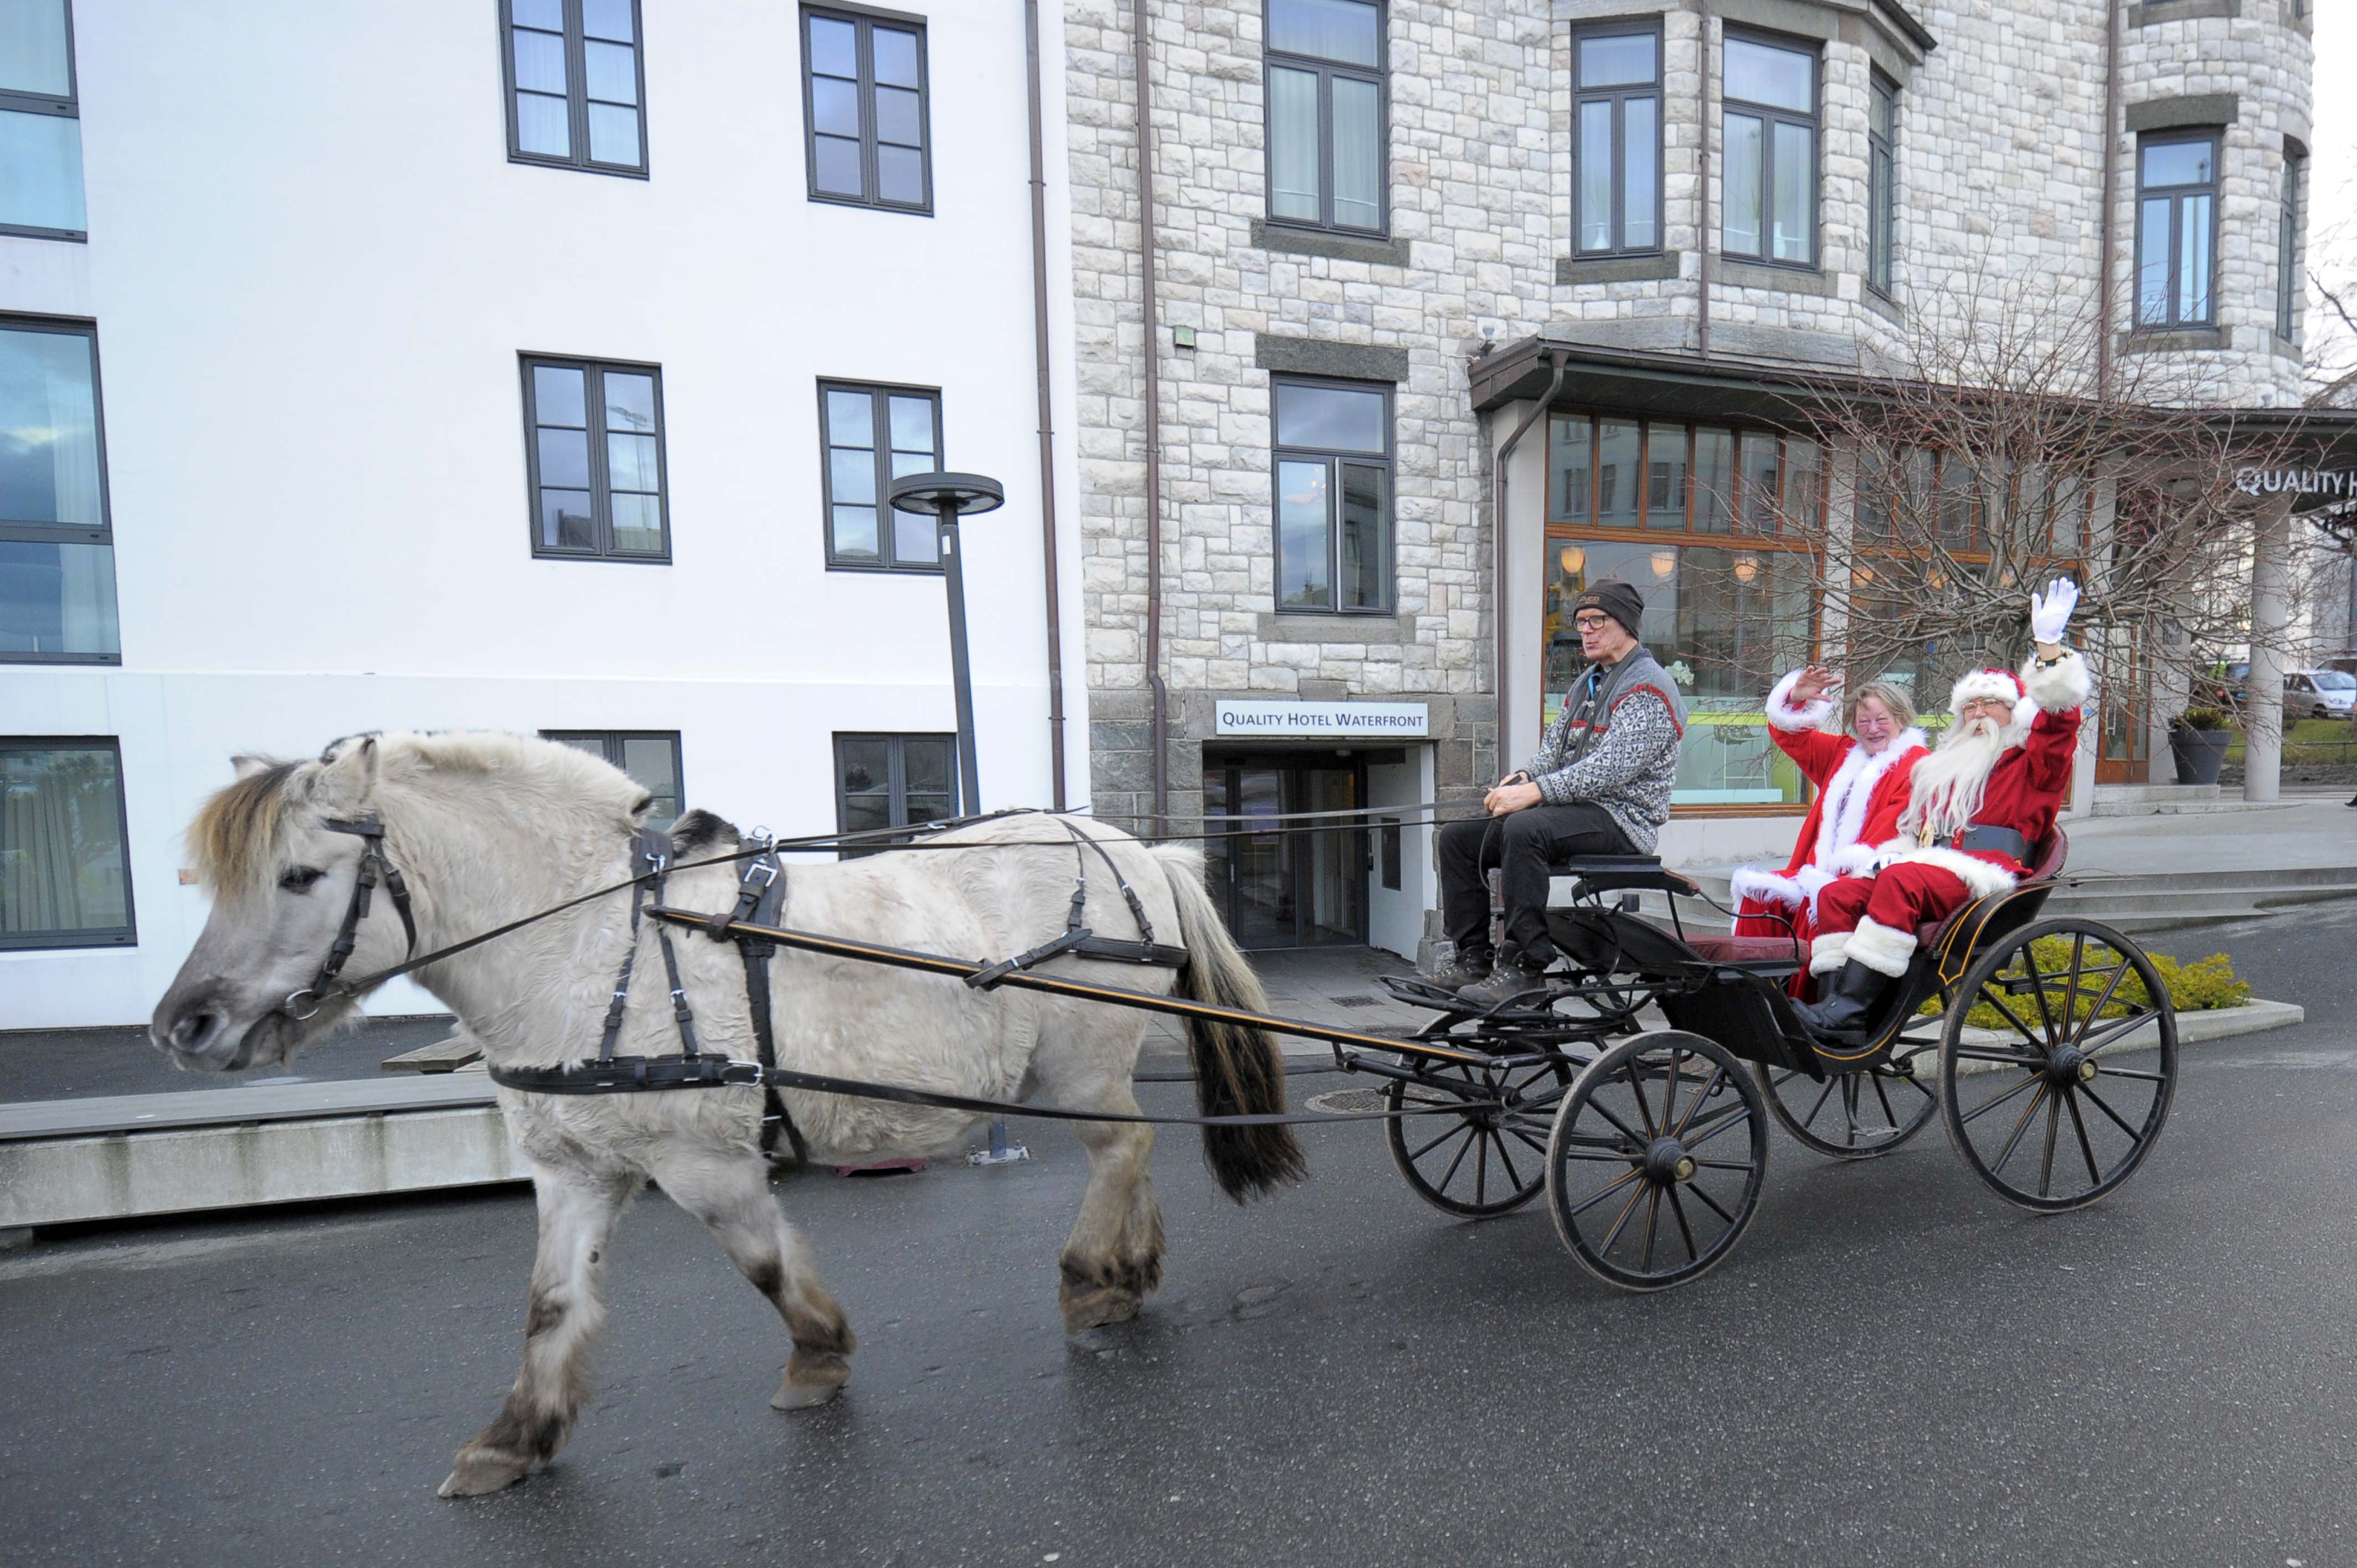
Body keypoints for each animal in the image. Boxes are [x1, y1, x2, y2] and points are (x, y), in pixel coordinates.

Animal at [147, 735, 1301, 1490]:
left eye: (301, 875)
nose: (181, 1023)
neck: (588, 941)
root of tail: (1134, 848)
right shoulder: (573, 1167)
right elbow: (550, 1303)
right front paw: (515, 1437)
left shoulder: (702, 1157)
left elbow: (764, 1266)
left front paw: (819, 1355)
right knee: (1133, 1151)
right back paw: (1130, 1270)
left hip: (1080, 1063)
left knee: (1123, 1145)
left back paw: (1092, 1277)